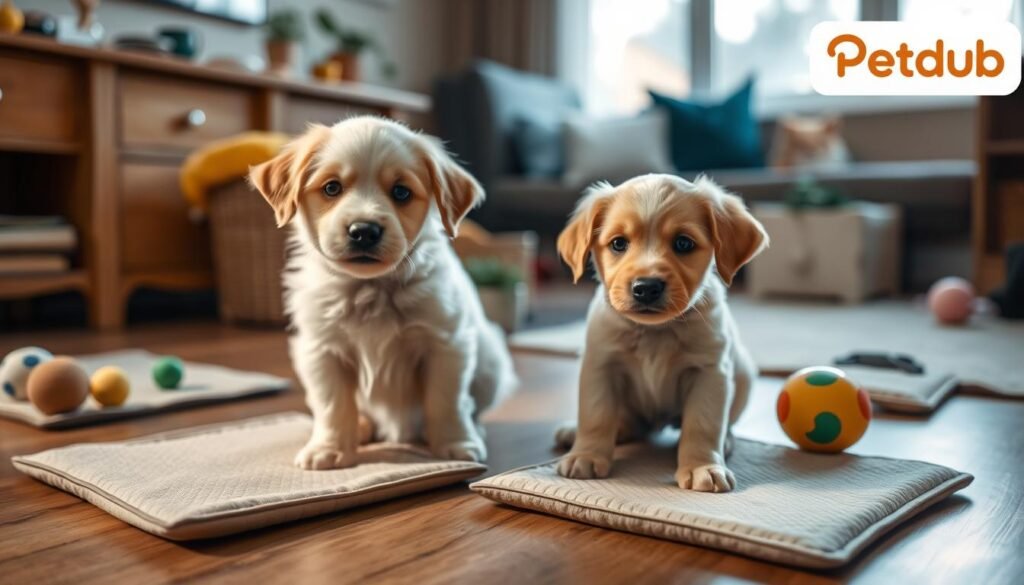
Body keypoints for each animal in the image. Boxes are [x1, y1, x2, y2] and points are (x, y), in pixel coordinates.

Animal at [251, 117, 516, 471]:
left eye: (401, 192)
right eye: (332, 188)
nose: (364, 231)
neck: (371, 287)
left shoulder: (446, 343)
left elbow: (446, 400)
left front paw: (455, 443)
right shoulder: (322, 349)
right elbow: (332, 403)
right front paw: (328, 448)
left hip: (490, 361)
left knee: (472, 405)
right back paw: (362, 428)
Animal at [557, 175, 765, 493]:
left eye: (683, 243)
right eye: (618, 243)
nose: (646, 287)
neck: (654, 331)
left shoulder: (709, 372)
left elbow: (703, 424)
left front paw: (703, 466)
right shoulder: (600, 365)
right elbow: (596, 414)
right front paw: (587, 455)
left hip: (743, 375)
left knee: (723, 423)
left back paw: (726, 442)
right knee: (626, 421)